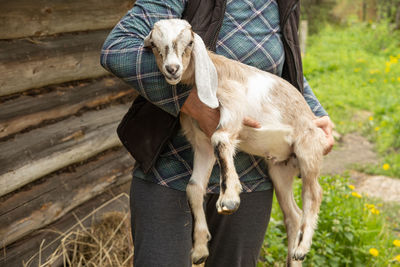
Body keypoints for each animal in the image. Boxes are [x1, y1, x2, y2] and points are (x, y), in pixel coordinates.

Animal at [144, 19, 328, 266]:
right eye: (154, 44)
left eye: (189, 42)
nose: (172, 69)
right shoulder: (201, 141)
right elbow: (194, 186)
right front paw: (200, 248)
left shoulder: (233, 108)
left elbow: (221, 139)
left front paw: (229, 198)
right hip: (281, 170)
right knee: (293, 215)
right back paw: (294, 257)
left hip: (308, 151)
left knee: (314, 194)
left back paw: (301, 248)